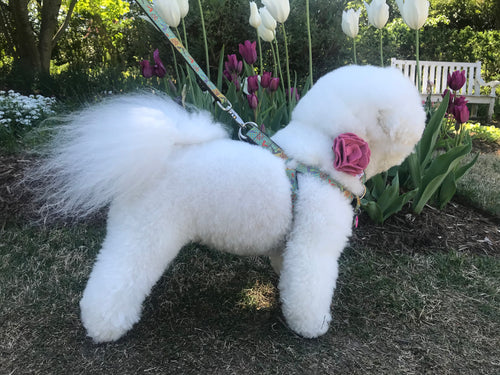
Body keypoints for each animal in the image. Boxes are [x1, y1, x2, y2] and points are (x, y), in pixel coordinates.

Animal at [37, 65, 424, 344]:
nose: (422, 116)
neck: (317, 162)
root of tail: (164, 153)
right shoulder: (314, 246)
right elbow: (310, 287)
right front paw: (312, 326)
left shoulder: (292, 243)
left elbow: (289, 274)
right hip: (147, 232)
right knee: (117, 280)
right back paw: (104, 327)